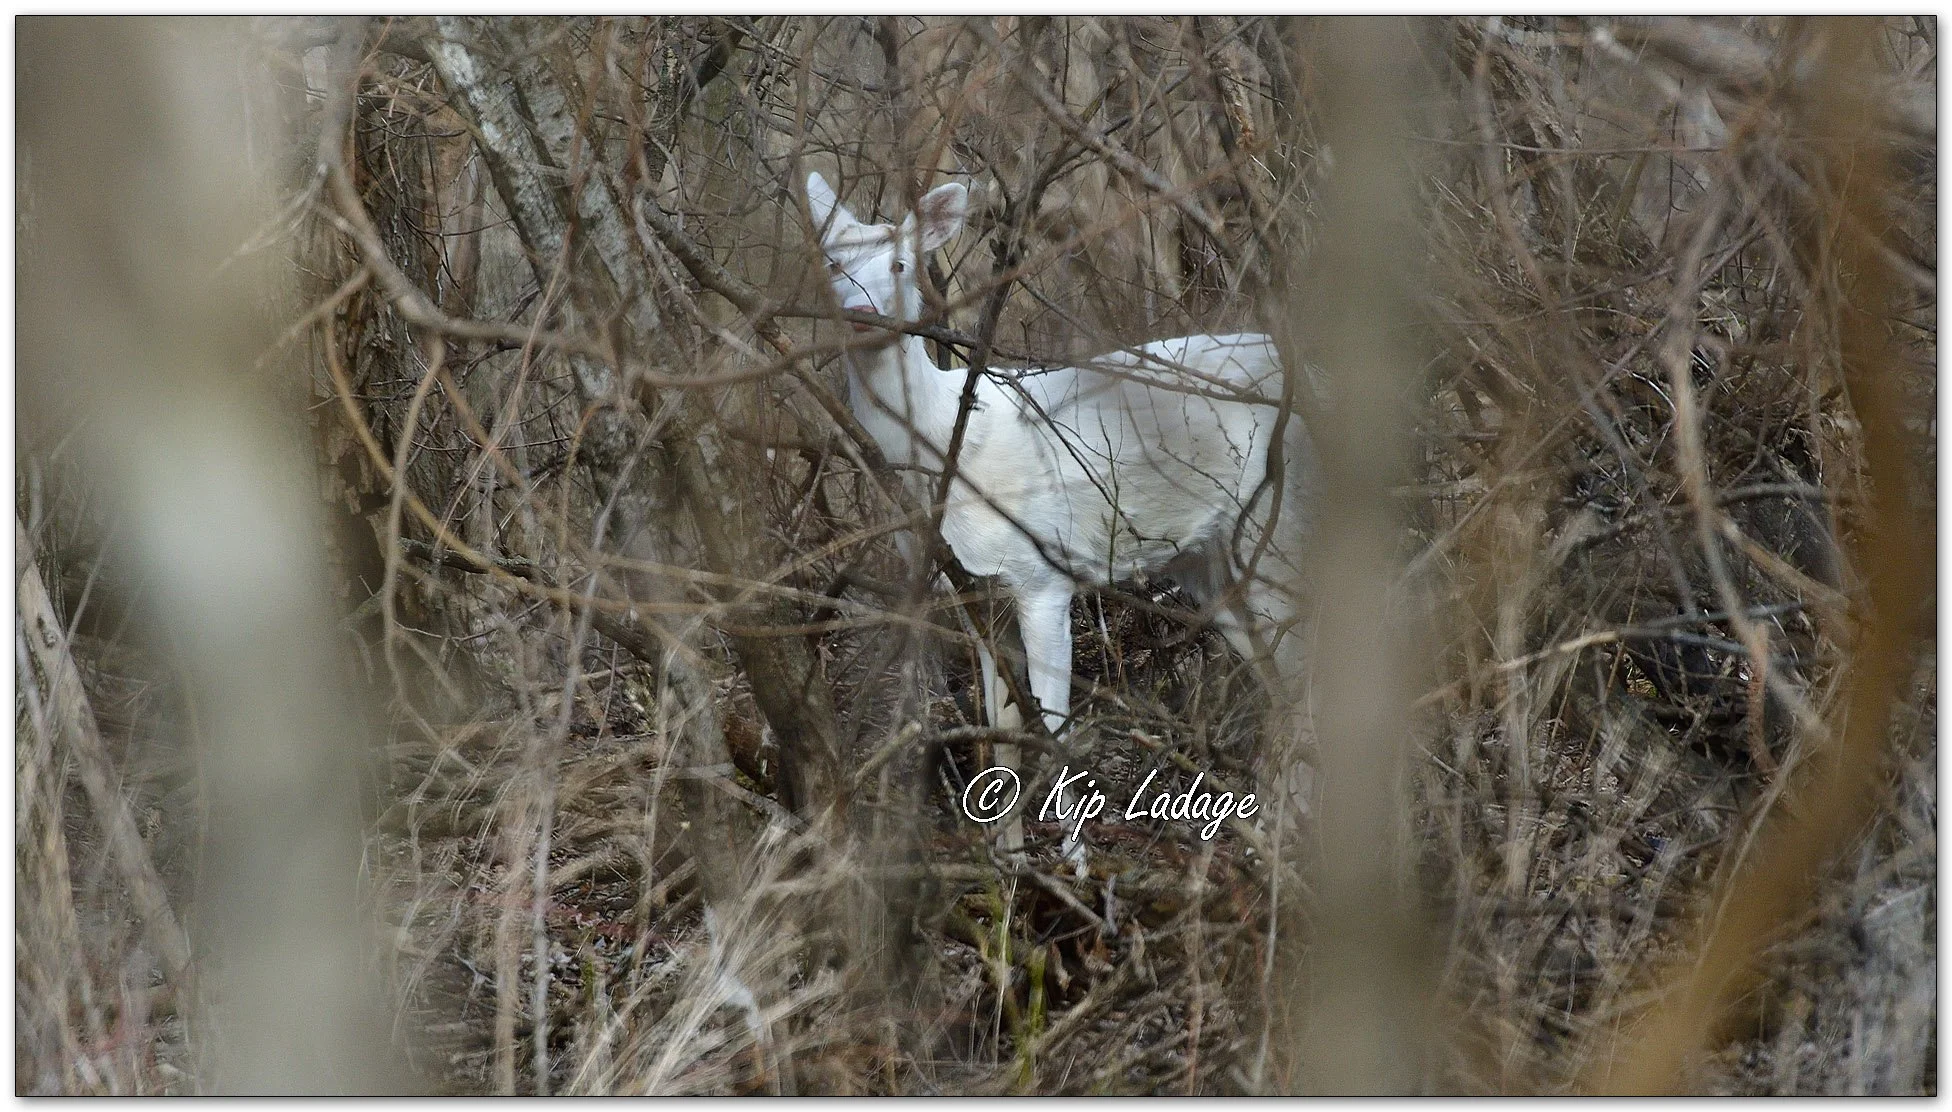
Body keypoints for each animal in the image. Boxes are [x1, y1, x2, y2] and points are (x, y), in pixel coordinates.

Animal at [804, 171, 1313, 871]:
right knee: (1284, 679)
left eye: (901, 263)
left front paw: (1076, 865)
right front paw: (1011, 863)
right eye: (833, 262)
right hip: (1212, 561)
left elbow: (1054, 723)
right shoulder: (974, 595)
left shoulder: (1042, 573)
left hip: (1278, 526)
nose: (859, 313)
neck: (944, 446)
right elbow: (1002, 729)